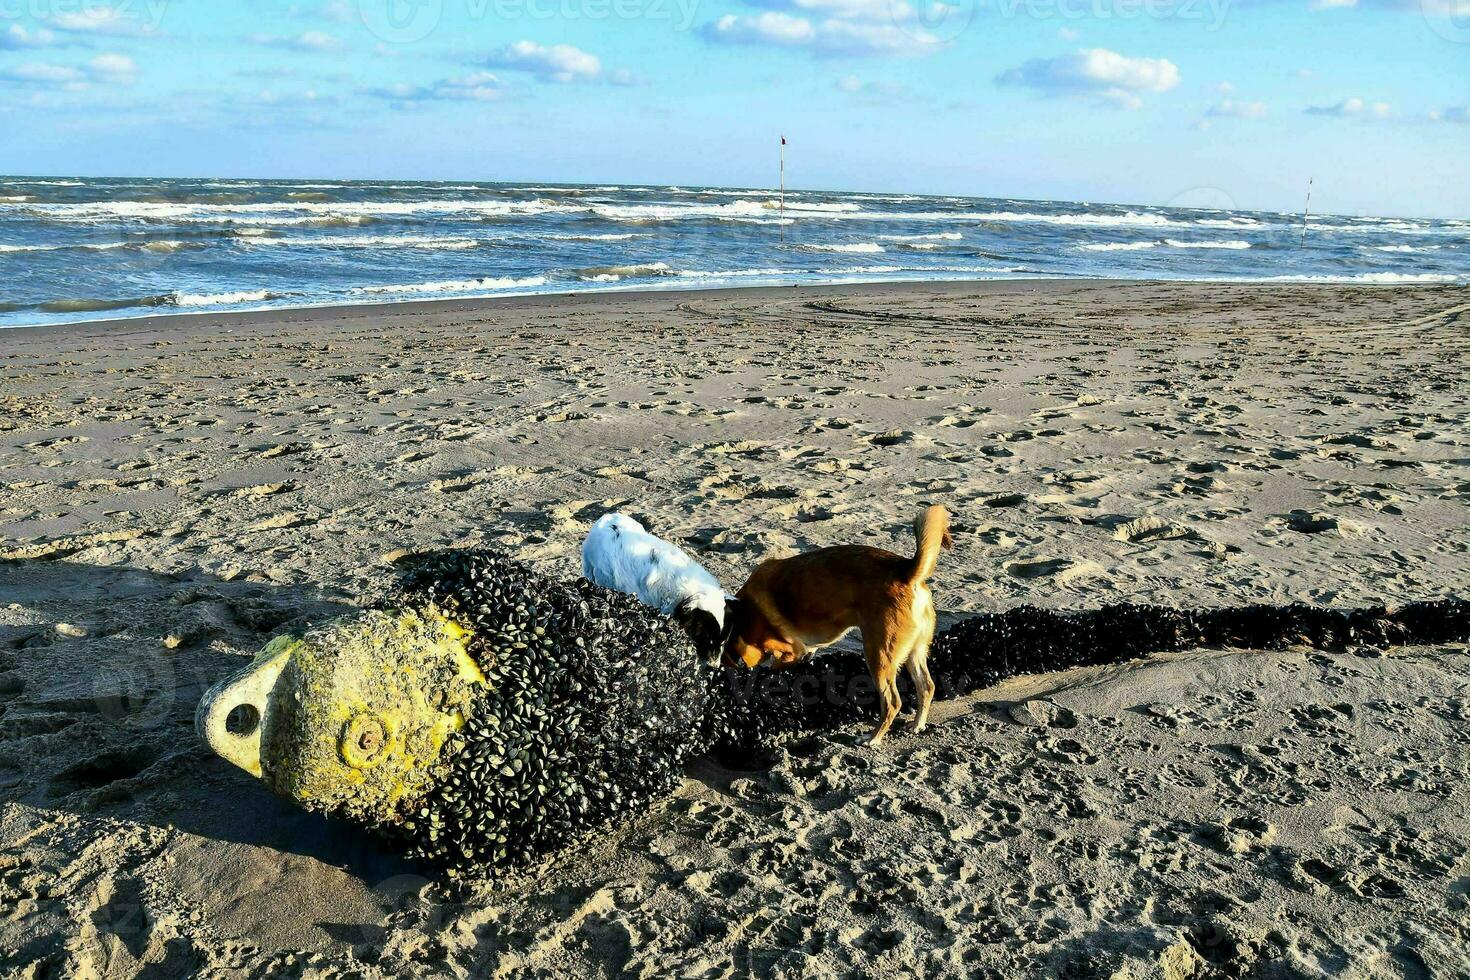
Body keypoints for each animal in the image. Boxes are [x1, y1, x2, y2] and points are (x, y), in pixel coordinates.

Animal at [579, 514, 729, 667]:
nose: (714, 666)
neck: (687, 595)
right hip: (589, 566)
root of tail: (607, 516)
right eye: (707, 639)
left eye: (723, 642)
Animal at [723, 505, 952, 743]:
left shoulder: (791, 651)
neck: (742, 613)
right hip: (914, 652)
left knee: (892, 701)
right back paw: (917, 725)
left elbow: (776, 665)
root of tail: (906, 571)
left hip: (877, 655)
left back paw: (872, 738)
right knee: (927, 686)